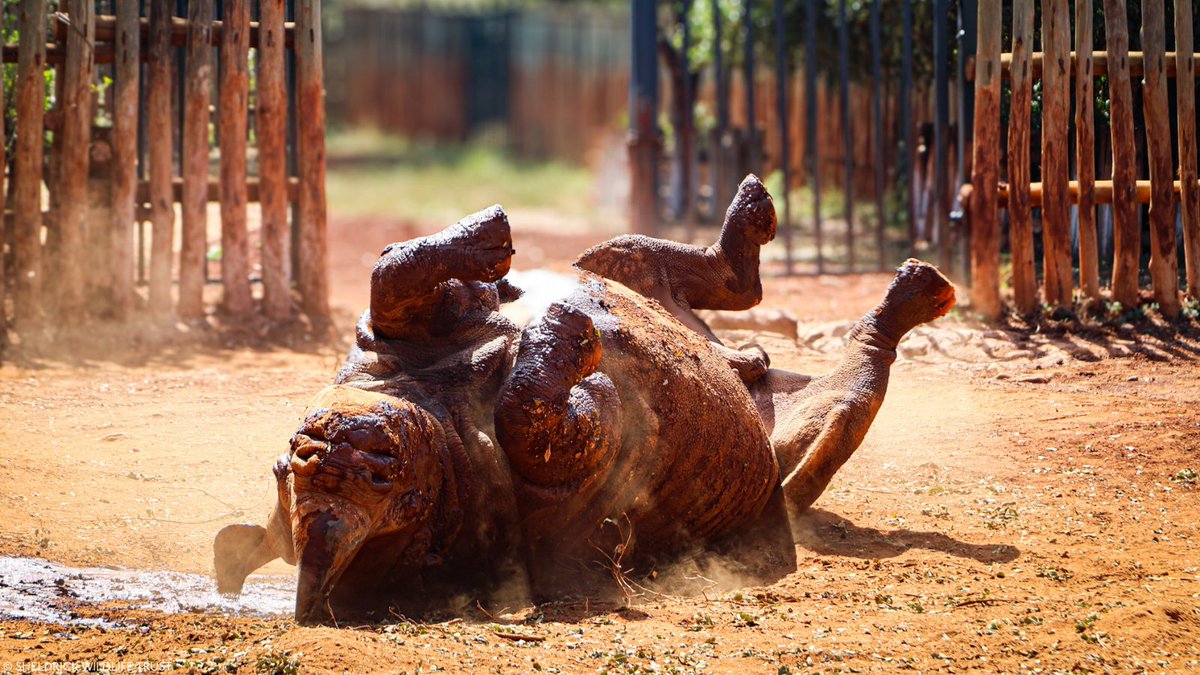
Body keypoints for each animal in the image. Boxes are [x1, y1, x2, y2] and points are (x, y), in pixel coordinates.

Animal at [214, 176, 956, 624]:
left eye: (292, 454)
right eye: (383, 490)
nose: (331, 442)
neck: (441, 408)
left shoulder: (387, 339)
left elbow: (394, 275)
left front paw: (492, 245)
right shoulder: (560, 479)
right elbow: (533, 412)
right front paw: (570, 335)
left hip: (637, 280)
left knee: (646, 265)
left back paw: (754, 241)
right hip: (782, 465)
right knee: (836, 419)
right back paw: (917, 296)